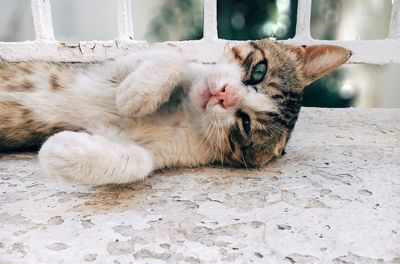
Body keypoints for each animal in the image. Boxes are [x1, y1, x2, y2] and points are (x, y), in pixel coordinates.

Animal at [0, 40, 350, 186]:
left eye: (245, 124)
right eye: (259, 70)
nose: (224, 94)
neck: (186, 113)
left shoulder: (162, 152)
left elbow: (138, 162)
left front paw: (60, 149)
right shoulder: (112, 67)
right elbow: (172, 55)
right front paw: (135, 94)